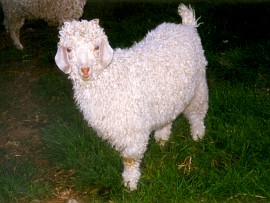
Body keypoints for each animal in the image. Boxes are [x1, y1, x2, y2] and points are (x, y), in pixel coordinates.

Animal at [53, 3, 208, 190]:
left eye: (96, 47)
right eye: (69, 49)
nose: (85, 70)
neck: (110, 77)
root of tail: (187, 26)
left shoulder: (134, 128)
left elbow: (130, 158)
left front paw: (130, 183)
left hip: (199, 85)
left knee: (197, 113)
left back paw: (197, 135)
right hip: (167, 97)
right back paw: (162, 138)